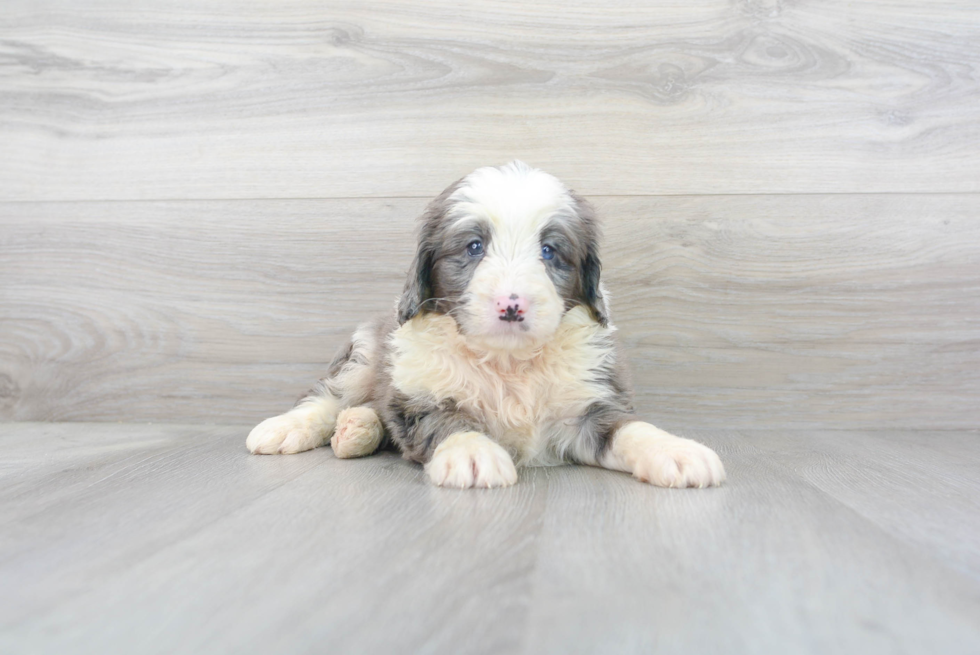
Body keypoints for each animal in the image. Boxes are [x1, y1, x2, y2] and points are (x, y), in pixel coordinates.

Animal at [245, 161, 728, 490]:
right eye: (474, 247)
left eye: (550, 251)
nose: (511, 305)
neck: (508, 363)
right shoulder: (419, 394)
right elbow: (446, 422)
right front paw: (473, 452)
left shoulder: (589, 406)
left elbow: (630, 428)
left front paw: (676, 450)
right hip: (366, 353)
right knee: (327, 396)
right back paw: (294, 428)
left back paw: (357, 429)